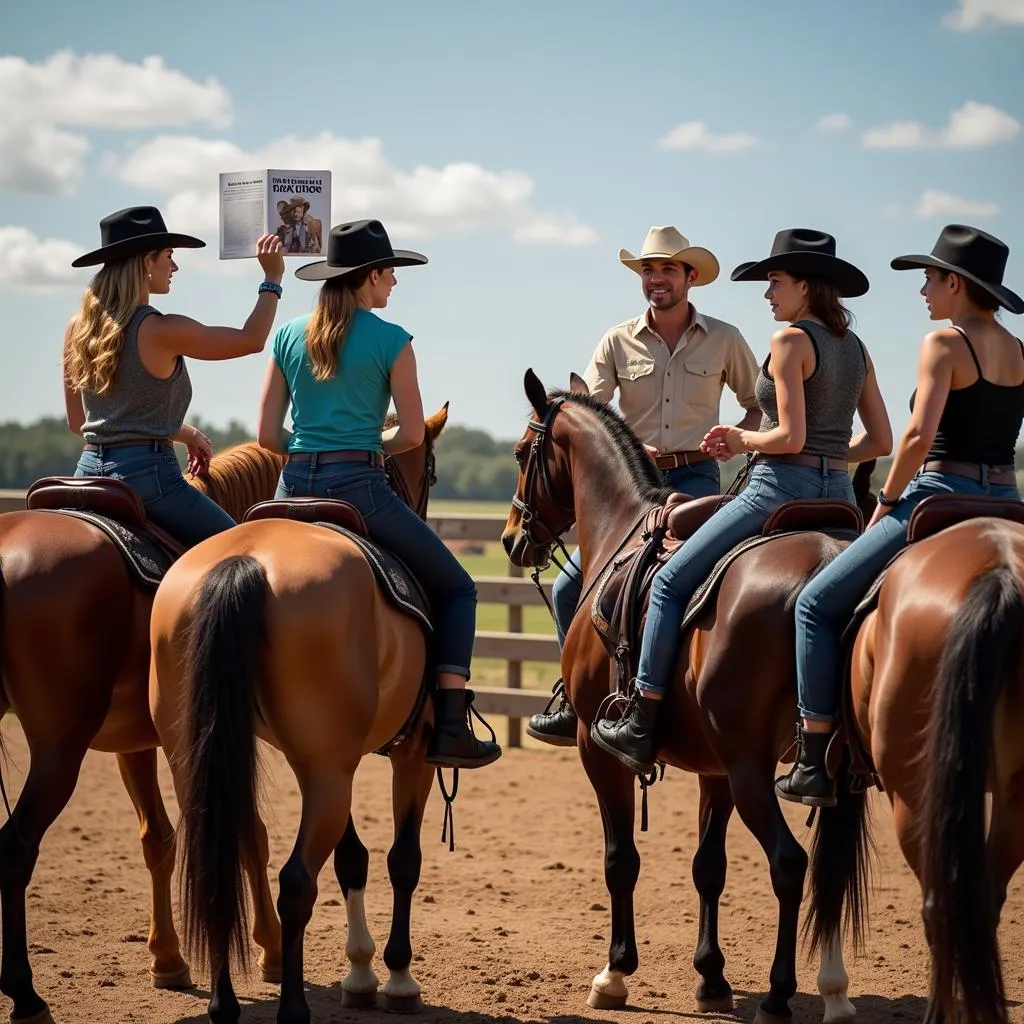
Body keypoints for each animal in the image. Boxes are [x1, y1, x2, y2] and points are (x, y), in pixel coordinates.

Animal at [0, 440, 286, 1024]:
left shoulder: (134, 744)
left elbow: (159, 839)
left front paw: (168, 960)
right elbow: (249, 832)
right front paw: (270, 948)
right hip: (58, 750)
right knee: (15, 849)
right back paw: (25, 994)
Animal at [147, 403, 448, 1024]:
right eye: (430, 471)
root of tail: (244, 562)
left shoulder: (342, 760)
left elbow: (353, 858)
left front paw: (360, 973)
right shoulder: (412, 754)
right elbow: (401, 859)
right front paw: (397, 978)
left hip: (209, 762)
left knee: (221, 866)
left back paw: (224, 1003)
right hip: (328, 773)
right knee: (296, 881)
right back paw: (291, 1007)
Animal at [499, 372, 876, 1024]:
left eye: (523, 453)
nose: (511, 537)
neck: (623, 529)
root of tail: (828, 563)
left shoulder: (597, 751)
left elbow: (620, 859)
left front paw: (614, 972)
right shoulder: (713, 769)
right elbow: (708, 868)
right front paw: (711, 976)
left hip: (754, 771)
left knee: (790, 863)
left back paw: (780, 993)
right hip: (817, 770)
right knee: (825, 871)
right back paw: (833, 992)